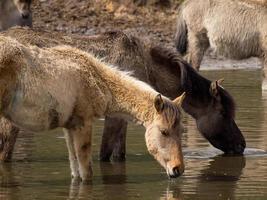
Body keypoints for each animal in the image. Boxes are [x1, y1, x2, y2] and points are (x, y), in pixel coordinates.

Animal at [0, 26, 247, 162]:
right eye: (224, 113)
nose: (242, 146)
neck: (148, 66)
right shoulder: (114, 117)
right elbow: (105, 154)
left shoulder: (125, 117)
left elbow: (118, 155)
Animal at [0, 36, 186, 181]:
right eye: (164, 131)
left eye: (181, 131)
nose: (178, 169)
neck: (96, 78)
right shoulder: (83, 124)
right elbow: (86, 173)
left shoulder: (69, 127)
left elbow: (75, 171)